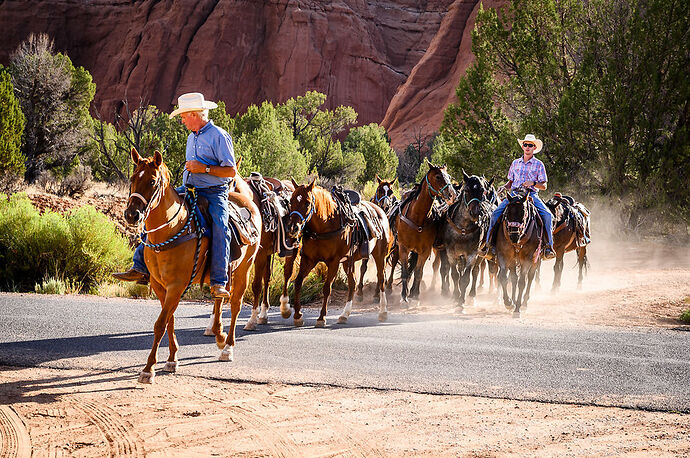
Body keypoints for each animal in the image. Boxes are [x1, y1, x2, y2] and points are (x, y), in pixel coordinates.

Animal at [125, 148, 260, 382]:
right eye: (132, 179)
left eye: (152, 181)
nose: (132, 215)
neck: (172, 229)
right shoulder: (160, 286)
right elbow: (169, 321)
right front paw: (172, 360)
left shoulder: (176, 286)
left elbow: (160, 324)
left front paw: (148, 368)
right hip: (223, 271)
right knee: (219, 296)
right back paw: (218, 334)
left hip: (245, 268)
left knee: (235, 304)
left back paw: (228, 347)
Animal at [284, 178, 392, 326]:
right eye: (291, 201)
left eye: (307, 202)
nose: (293, 228)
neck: (325, 225)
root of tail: (380, 210)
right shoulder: (309, 259)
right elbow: (298, 282)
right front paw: (298, 315)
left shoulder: (333, 262)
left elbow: (327, 288)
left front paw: (321, 317)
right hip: (348, 262)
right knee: (352, 283)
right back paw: (344, 315)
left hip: (380, 255)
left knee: (381, 279)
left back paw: (383, 312)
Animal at [392, 163, 456, 306]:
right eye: (438, 176)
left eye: (449, 176)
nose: (452, 195)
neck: (418, 217)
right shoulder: (403, 248)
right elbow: (405, 272)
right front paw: (404, 296)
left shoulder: (425, 250)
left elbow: (418, 272)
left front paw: (415, 295)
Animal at [494, 188, 544, 316]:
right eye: (507, 212)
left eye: (524, 212)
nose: (514, 236)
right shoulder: (503, 255)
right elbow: (503, 277)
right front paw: (508, 302)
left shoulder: (527, 258)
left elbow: (522, 281)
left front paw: (517, 309)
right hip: (513, 260)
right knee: (513, 278)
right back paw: (514, 301)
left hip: (536, 259)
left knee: (530, 277)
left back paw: (524, 303)